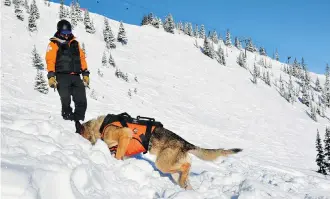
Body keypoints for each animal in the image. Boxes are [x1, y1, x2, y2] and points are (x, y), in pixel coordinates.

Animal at [78, 114, 241, 189]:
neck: (100, 127)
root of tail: (185, 143)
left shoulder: (124, 134)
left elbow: (118, 155)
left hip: (162, 163)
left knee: (186, 166)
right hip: (173, 171)